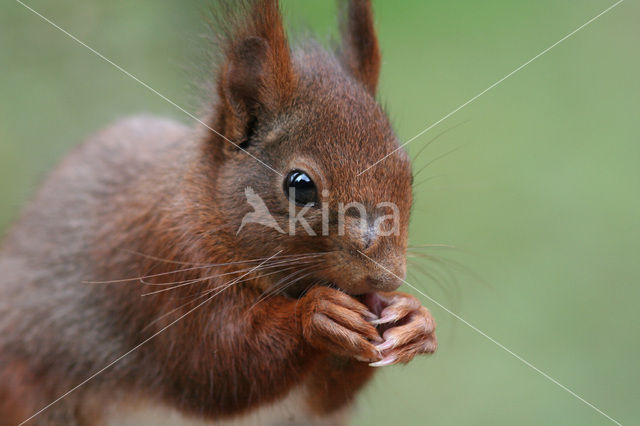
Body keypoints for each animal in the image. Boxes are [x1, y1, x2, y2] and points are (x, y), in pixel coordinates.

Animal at [0, 1, 436, 424]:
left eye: (407, 172)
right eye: (300, 185)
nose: (386, 276)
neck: (207, 208)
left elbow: (325, 395)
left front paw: (415, 320)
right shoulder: (167, 266)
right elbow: (217, 365)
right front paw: (317, 314)